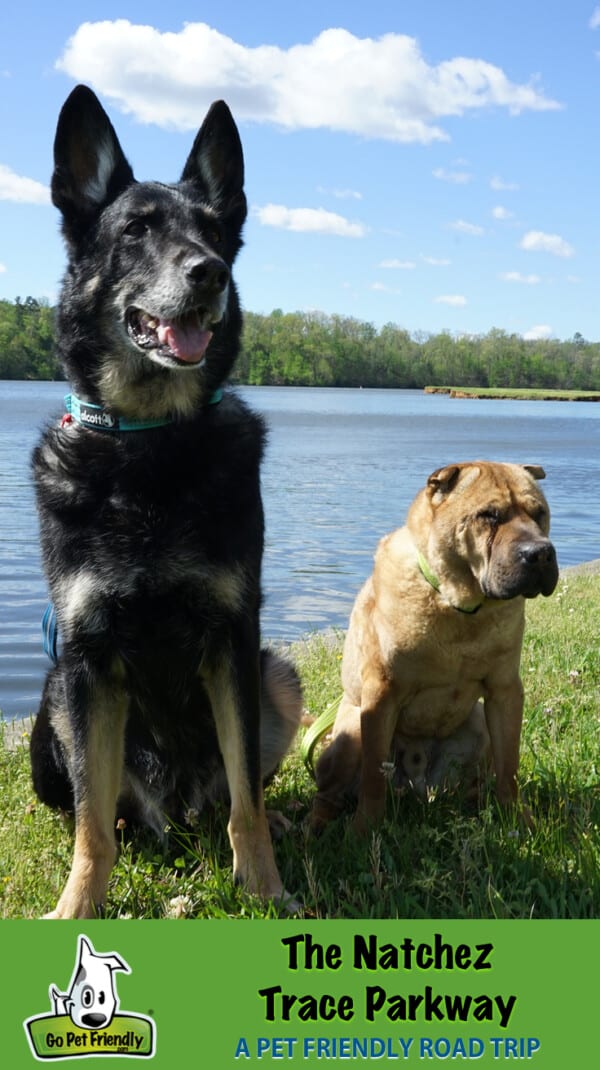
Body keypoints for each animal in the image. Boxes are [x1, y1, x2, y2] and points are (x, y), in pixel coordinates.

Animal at [28, 85, 301, 920]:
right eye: (136, 230)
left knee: (234, 795)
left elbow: (246, 800)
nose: (208, 273)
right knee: (104, 808)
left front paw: (266, 888)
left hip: (278, 677)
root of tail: (176, 809)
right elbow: (90, 825)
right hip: (51, 708)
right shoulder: (87, 660)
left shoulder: (233, 640)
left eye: (213, 232)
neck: (148, 451)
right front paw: (77, 905)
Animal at [310, 457, 560, 826]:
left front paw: (519, 819)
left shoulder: (504, 690)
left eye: (539, 512)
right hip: (349, 733)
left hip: (478, 726)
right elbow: (373, 776)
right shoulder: (380, 693)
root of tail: (413, 784)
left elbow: (509, 767)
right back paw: (316, 825)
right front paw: (365, 828)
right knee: (328, 793)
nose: (540, 553)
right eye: (489, 515)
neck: (460, 607)